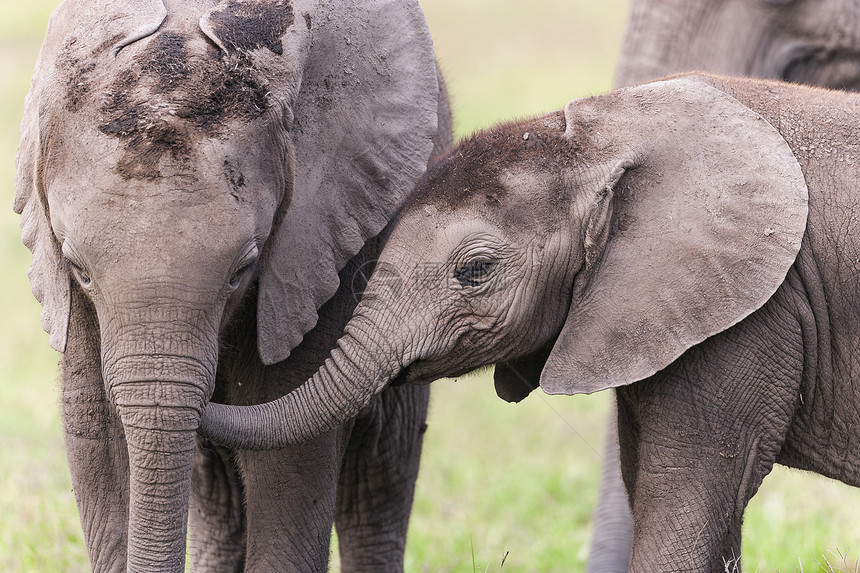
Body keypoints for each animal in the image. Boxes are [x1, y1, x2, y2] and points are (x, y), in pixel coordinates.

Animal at [16, 0, 454, 568]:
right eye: (79, 270)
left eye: (242, 271)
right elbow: (96, 438)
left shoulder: (315, 250)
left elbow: (288, 459)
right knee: (219, 498)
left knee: (377, 484)